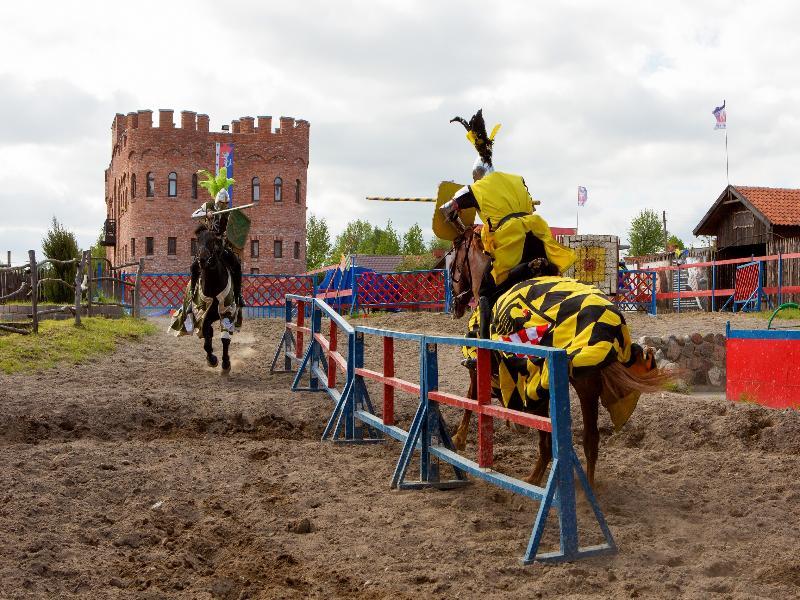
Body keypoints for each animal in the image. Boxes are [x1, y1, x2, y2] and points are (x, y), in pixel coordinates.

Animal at [444, 225, 664, 488]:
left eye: (453, 260)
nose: (455, 302)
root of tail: (610, 322)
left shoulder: (485, 369)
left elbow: (471, 398)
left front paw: (458, 438)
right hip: (586, 384)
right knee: (590, 440)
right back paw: (586, 488)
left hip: (544, 383)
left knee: (550, 440)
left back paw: (535, 479)